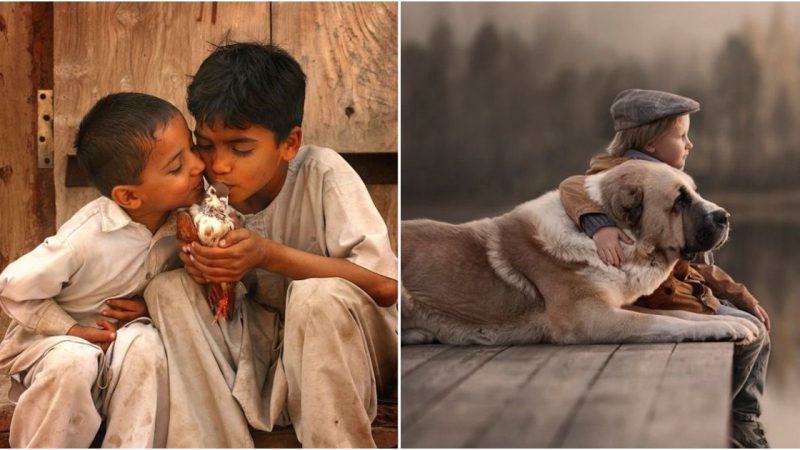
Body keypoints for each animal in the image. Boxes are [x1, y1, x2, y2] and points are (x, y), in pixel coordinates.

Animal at [404, 160, 760, 346]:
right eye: (680, 200)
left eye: (694, 192)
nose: (725, 216)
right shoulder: (592, 318)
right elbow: (667, 321)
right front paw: (724, 327)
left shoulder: (614, 305)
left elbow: (676, 314)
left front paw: (735, 321)